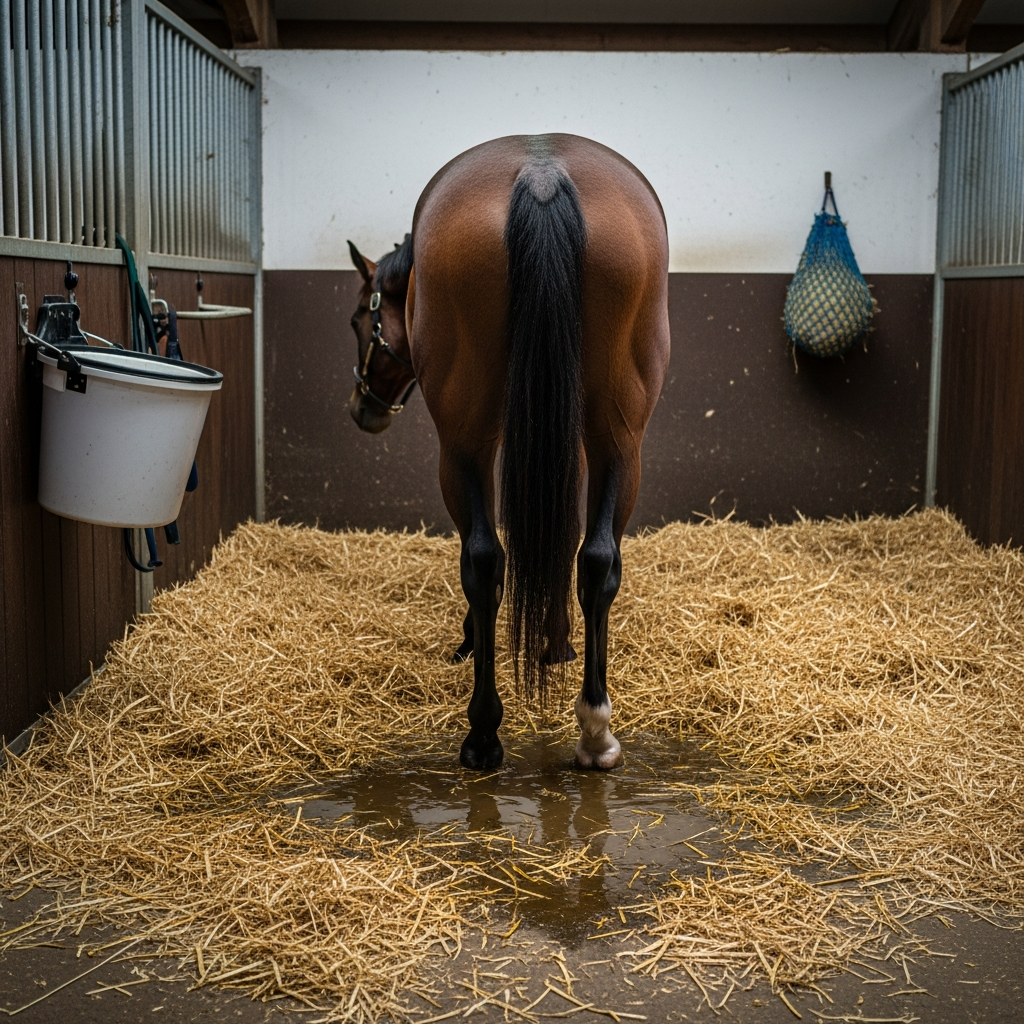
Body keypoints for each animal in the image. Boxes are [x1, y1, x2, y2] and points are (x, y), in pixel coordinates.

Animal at [346, 134, 670, 771]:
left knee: (482, 559)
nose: (361, 408)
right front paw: (555, 641)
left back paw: (483, 734)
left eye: (357, 323)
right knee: (597, 559)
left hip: (463, 442)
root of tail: (541, 175)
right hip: (620, 436)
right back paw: (594, 730)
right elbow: (562, 537)